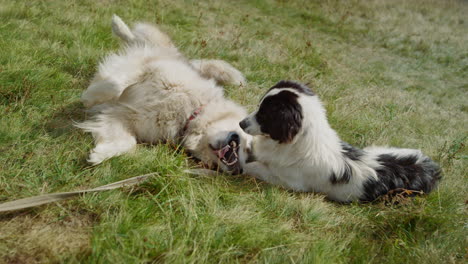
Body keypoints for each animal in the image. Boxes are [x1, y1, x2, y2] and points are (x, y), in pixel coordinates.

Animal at [77, 16, 252, 173]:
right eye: (248, 148)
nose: (239, 171)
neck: (190, 113)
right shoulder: (148, 66)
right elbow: (116, 84)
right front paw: (90, 96)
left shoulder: (123, 118)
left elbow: (128, 142)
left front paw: (100, 154)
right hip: (154, 43)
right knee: (136, 39)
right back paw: (118, 25)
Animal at [239, 80, 440, 202]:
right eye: (258, 107)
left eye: (264, 115)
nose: (241, 123)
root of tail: (432, 167)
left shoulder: (287, 180)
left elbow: (254, 166)